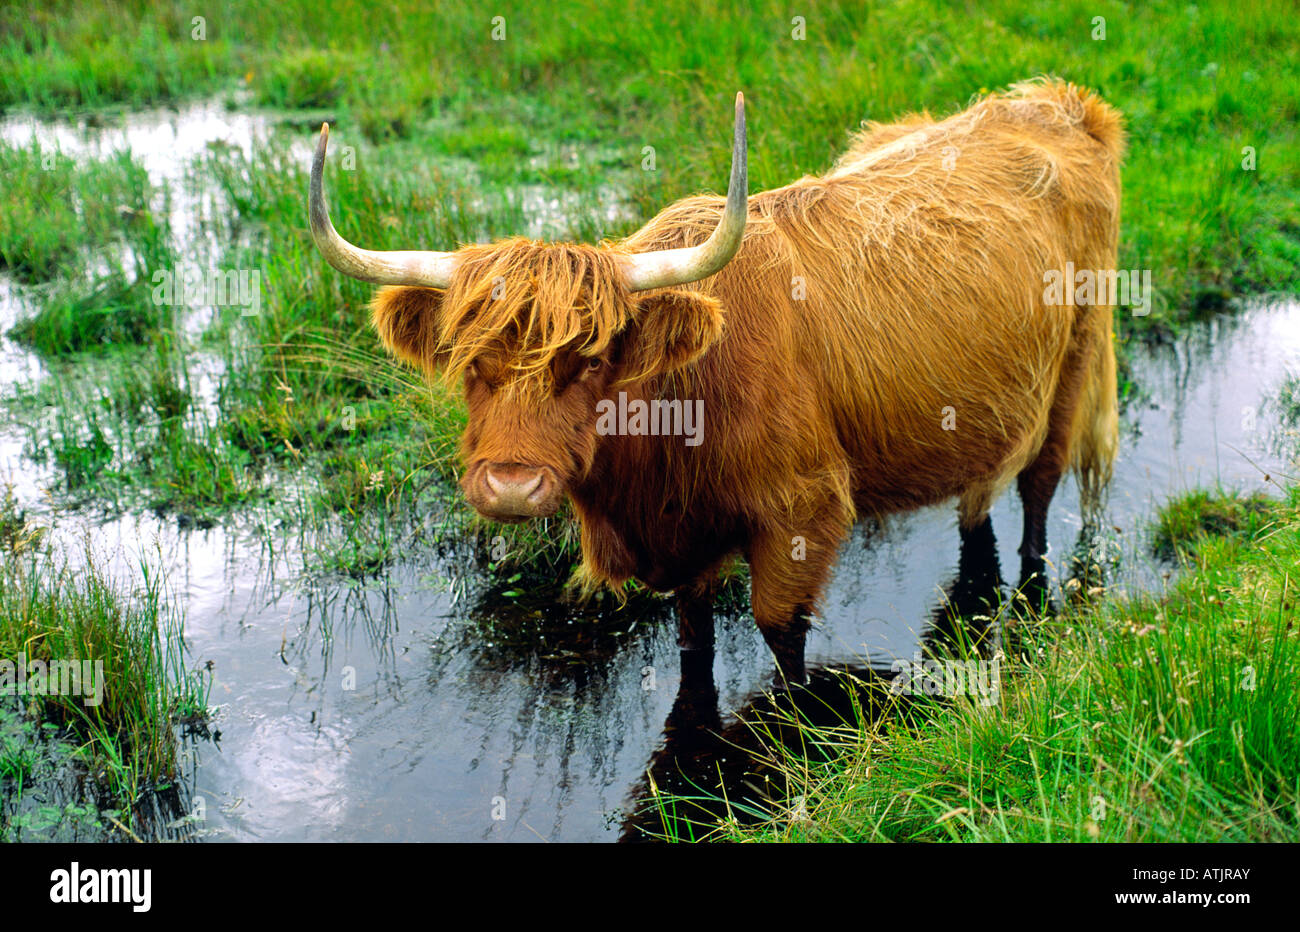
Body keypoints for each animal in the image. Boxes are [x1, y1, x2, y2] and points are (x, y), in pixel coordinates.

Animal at [308, 79, 1123, 683]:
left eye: (593, 360)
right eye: (468, 359)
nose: (511, 486)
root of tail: (1054, 101)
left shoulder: (803, 511)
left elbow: (782, 639)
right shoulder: (683, 541)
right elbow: (692, 639)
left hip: (1074, 366)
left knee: (1039, 494)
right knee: (977, 499)